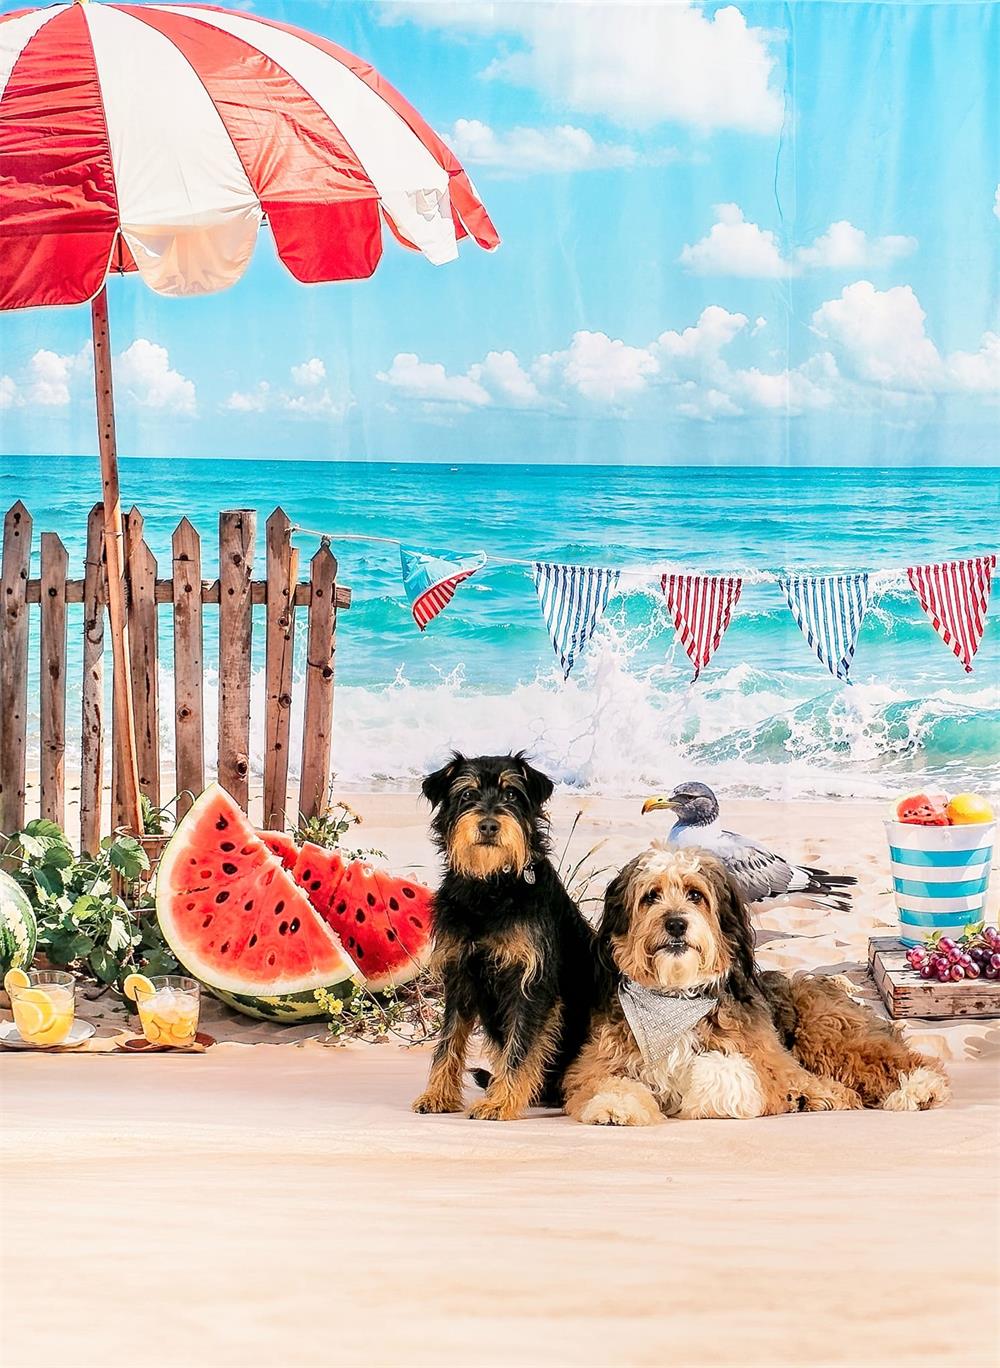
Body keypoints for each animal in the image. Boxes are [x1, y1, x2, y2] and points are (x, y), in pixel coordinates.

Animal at [415, 755, 593, 1116]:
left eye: (511, 794)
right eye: (467, 794)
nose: (488, 826)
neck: (491, 888)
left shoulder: (529, 982)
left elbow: (520, 1047)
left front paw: (501, 1102)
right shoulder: (459, 976)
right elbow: (448, 1041)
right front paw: (437, 1095)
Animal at [566, 848, 952, 1127]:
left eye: (695, 895)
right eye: (650, 896)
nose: (675, 924)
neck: (674, 997)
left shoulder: (768, 1069)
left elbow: (721, 1071)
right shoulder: (596, 1064)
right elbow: (606, 1082)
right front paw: (616, 1106)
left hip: (828, 1035)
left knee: (898, 1060)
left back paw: (920, 1087)